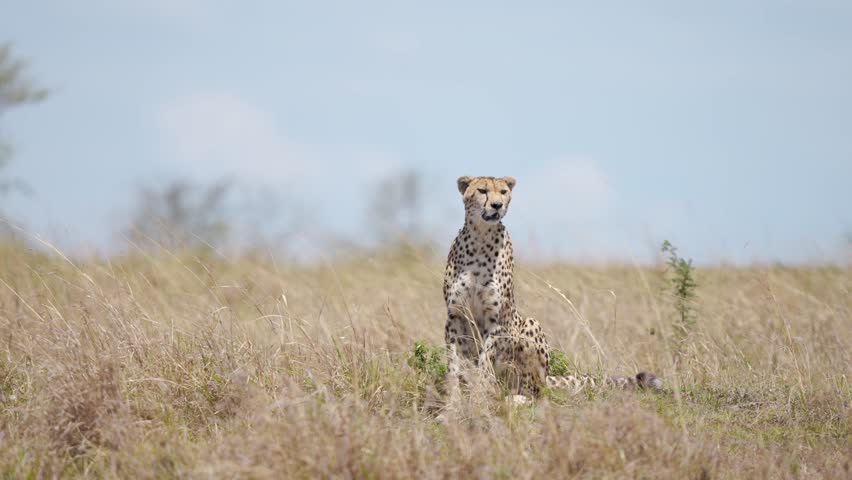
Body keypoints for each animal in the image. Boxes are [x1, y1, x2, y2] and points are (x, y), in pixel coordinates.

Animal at [443, 175, 661, 402]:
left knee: (536, 391)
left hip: (530, 326)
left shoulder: (497, 320)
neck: (480, 236)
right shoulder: (455, 316)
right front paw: (453, 402)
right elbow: (454, 364)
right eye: (482, 190)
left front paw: (480, 397)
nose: (497, 205)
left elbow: (485, 362)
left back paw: (516, 400)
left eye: (503, 192)